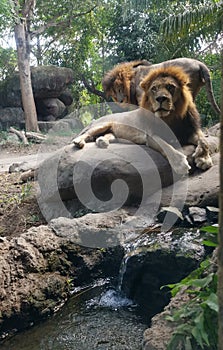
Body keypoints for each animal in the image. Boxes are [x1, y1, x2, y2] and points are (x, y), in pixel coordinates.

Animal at [73, 65, 213, 175]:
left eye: (170, 87)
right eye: (154, 88)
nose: (160, 99)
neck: (171, 118)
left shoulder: (190, 130)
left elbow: (204, 141)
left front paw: (204, 159)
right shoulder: (150, 136)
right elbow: (165, 145)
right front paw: (180, 164)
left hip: (112, 132)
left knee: (107, 135)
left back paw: (102, 141)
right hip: (102, 124)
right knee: (87, 134)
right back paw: (78, 141)